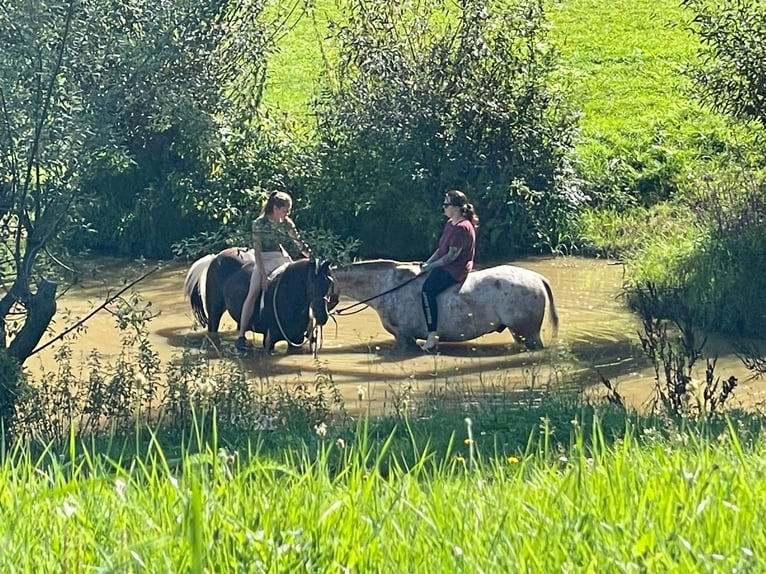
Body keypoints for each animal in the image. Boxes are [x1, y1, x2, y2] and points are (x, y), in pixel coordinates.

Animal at [183, 247, 336, 353]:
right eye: (314, 283)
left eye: (329, 283)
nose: (323, 317)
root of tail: (215, 257)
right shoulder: (269, 340)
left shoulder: (295, 339)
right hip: (214, 313)